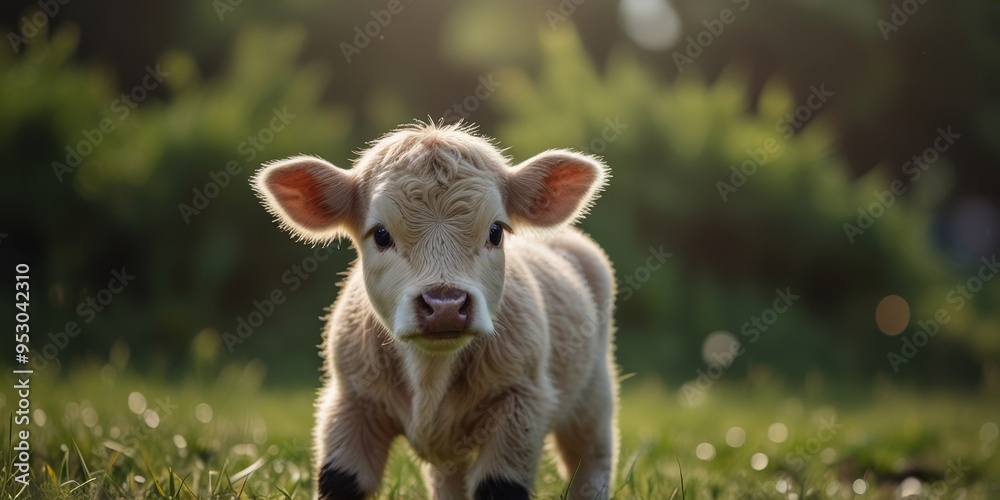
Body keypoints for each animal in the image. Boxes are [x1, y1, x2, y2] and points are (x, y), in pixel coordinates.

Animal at [252, 122, 618, 499]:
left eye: (495, 231)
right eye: (380, 234)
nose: (445, 306)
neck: (430, 373)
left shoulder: (521, 403)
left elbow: (499, 487)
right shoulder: (350, 401)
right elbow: (340, 483)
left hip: (594, 396)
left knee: (591, 459)